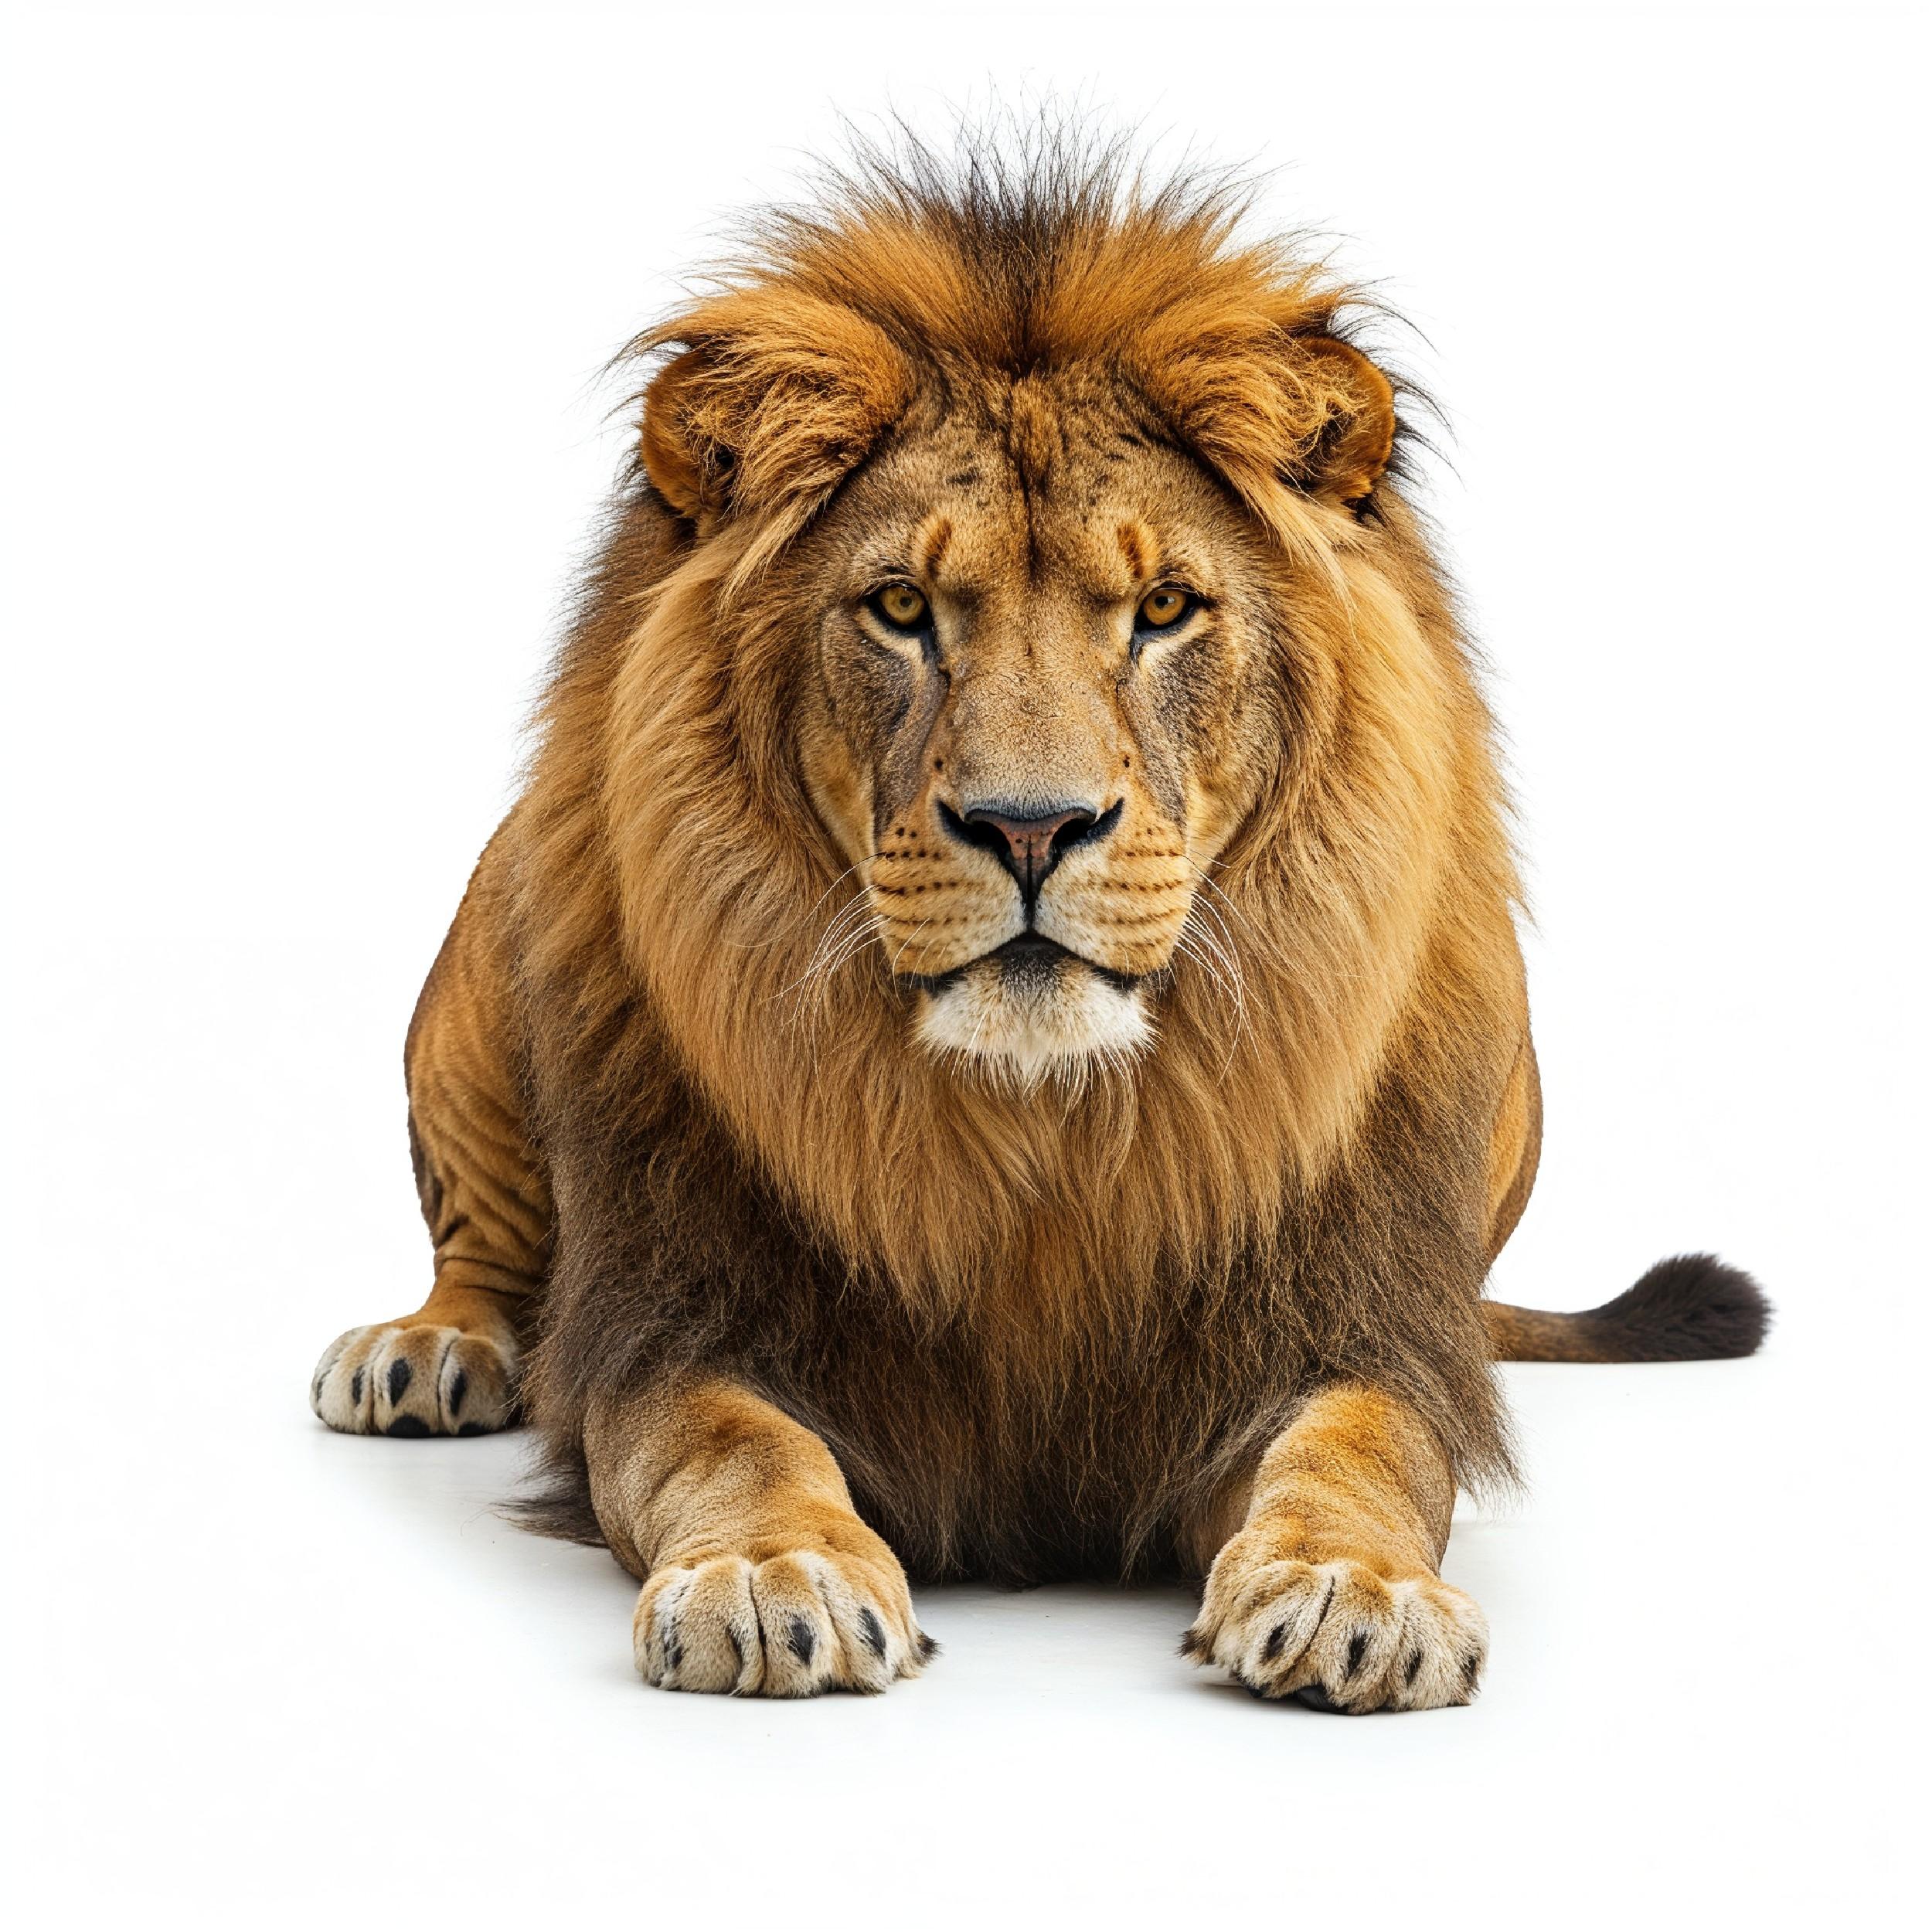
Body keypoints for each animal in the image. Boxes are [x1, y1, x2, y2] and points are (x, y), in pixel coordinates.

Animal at [310, 138, 1767, 1710]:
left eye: (1167, 607)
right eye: (899, 607)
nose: (1028, 828)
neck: (1043, 1123)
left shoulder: (1348, 1321)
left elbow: (1364, 1451)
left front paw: (1353, 1592)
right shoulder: (676, 1315)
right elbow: (732, 1441)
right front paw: (772, 1572)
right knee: (480, 1249)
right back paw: (423, 1356)